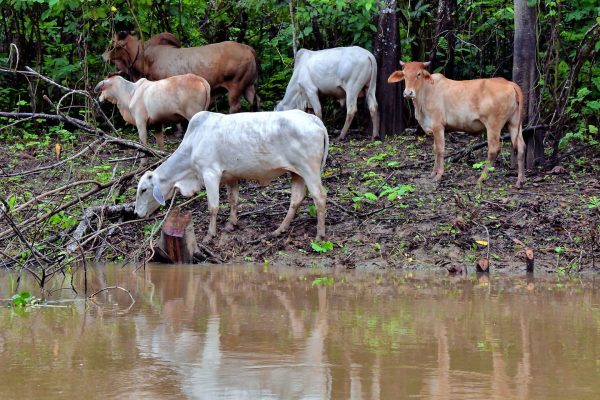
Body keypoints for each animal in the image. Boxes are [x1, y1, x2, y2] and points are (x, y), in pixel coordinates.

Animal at [103, 31, 258, 113]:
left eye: (112, 45)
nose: (103, 56)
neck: (145, 58)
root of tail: (248, 48)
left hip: (236, 86)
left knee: (235, 106)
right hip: (249, 85)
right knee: (255, 100)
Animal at [135, 109, 328, 242]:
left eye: (143, 190)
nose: (136, 213)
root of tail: (313, 118)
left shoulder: (210, 174)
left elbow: (213, 207)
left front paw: (210, 235)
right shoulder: (231, 176)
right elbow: (233, 200)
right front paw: (231, 224)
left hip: (309, 170)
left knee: (319, 197)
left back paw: (320, 234)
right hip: (297, 173)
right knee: (296, 199)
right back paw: (280, 229)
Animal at [386, 61, 524, 188]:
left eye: (418, 74)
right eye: (404, 74)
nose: (408, 93)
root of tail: (508, 83)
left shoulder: (438, 125)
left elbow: (440, 150)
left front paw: (439, 175)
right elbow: (435, 149)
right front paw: (433, 173)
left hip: (493, 125)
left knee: (494, 149)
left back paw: (481, 179)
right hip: (514, 123)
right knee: (521, 146)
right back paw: (519, 181)